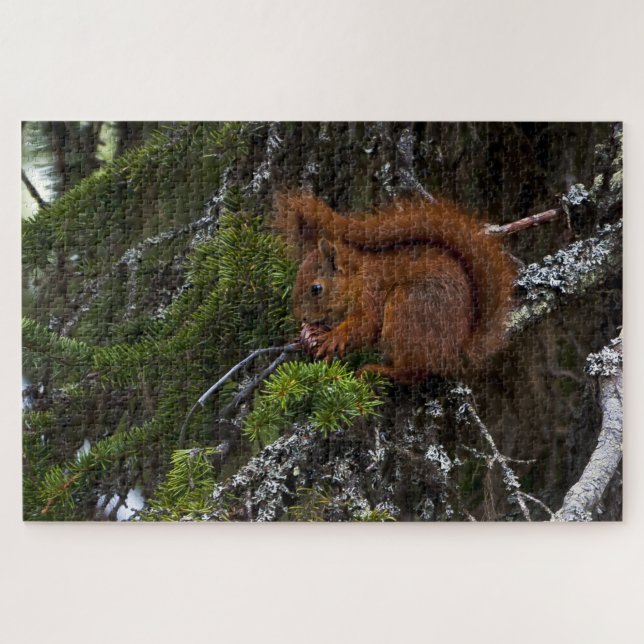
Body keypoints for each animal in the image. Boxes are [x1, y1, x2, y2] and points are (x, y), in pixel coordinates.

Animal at [274, 193, 517, 384]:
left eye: (316, 288)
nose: (301, 317)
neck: (357, 277)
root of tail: (454, 354)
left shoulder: (370, 294)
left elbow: (366, 323)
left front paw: (333, 337)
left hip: (406, 308)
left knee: (413, 373)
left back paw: (379, 370)